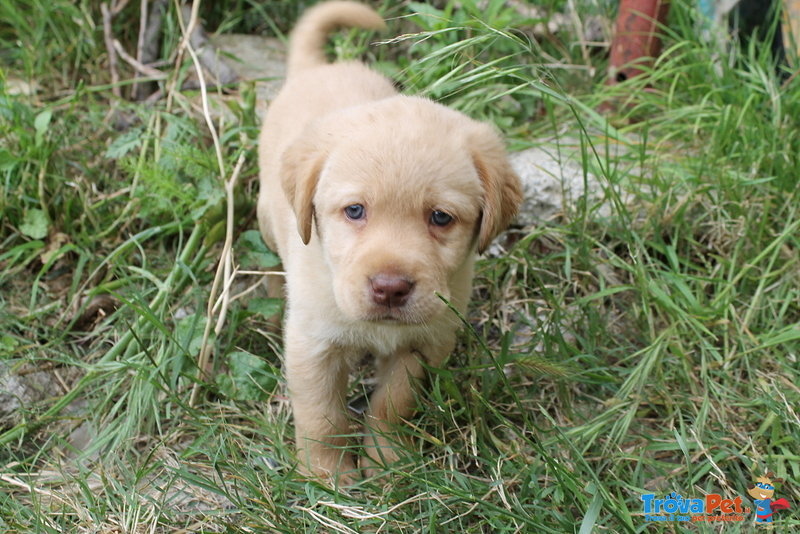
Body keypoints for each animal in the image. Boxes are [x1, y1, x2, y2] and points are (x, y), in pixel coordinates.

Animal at [258, 1, 524, 486]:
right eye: (354, 211)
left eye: (441, 217)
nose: (389, 288)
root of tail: (320, 67)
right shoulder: (312, 344)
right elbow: (321, 416)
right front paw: (327, 474)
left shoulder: (424, 343)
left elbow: (392, 406)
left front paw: (388, 462)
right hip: (269, 215)